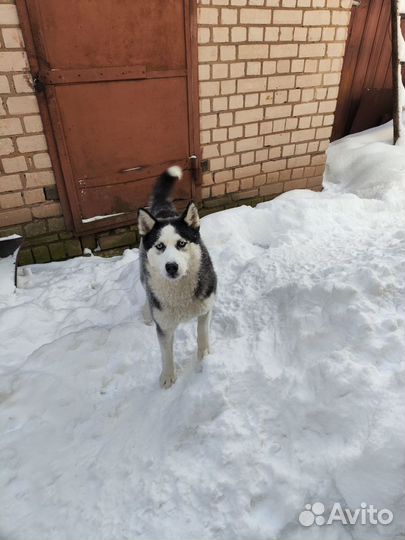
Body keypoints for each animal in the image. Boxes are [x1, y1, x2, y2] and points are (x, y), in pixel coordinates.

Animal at [137, 166, 216, 388]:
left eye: (181, 243)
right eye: (160, 246)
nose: (171, 267)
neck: (179, 292)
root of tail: (164, 211)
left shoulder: (206, 308)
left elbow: (202, 335)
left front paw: (204, 357)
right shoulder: (164, 326)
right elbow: (166, 354)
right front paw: (168, 376)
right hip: (143, 273)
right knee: (145, 289)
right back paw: (146, 312)